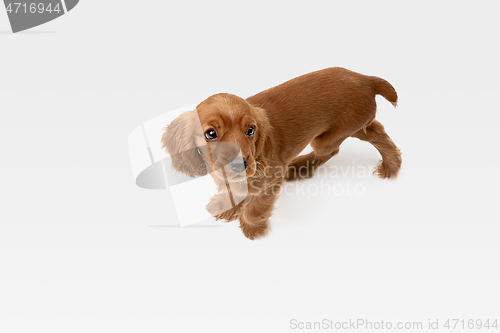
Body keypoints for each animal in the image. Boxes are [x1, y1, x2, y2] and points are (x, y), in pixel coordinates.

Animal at [162, 67, 400, 239]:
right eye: (210, 133)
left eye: (251, 130)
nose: (240, 164)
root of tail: (365, 79)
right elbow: (235, 190)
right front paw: (227, 207)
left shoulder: (272, 178)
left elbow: (256, 207)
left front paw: (253, 228)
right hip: (349, 127)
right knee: (375, 131)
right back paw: (392, 165)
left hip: (328, 137)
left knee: (336, 149)